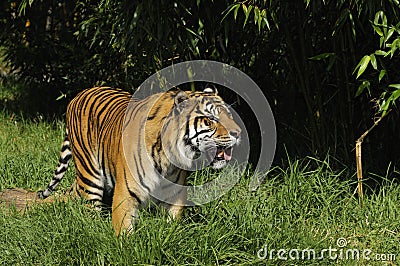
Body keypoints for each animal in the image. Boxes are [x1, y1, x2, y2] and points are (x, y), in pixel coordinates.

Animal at [38, 85, 241, 235]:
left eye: (229, 115)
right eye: (210, 119)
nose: (238, 133)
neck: (167, 160)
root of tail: (77, 96)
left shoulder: (175, 196)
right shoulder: (125, 196)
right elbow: (124, 233)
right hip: (89, 174)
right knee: (90, 208)